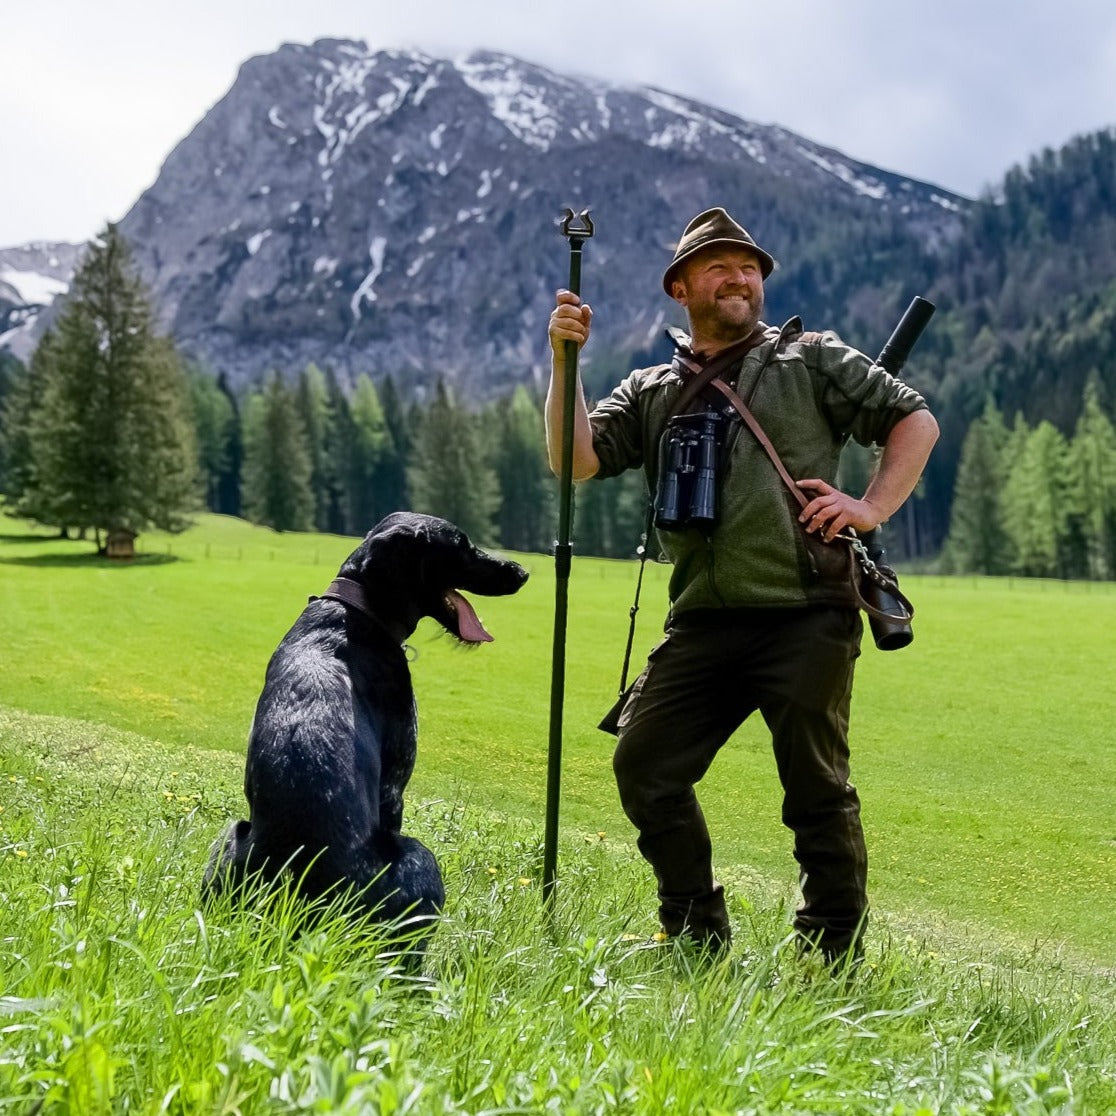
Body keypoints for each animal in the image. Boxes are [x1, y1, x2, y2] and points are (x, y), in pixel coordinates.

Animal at [204, 511, 526, 941]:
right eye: (460, 544)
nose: (522, 571)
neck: (356, 613)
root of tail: (307, 904)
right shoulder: (394, 785)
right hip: (421, 859)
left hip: (228, 838)